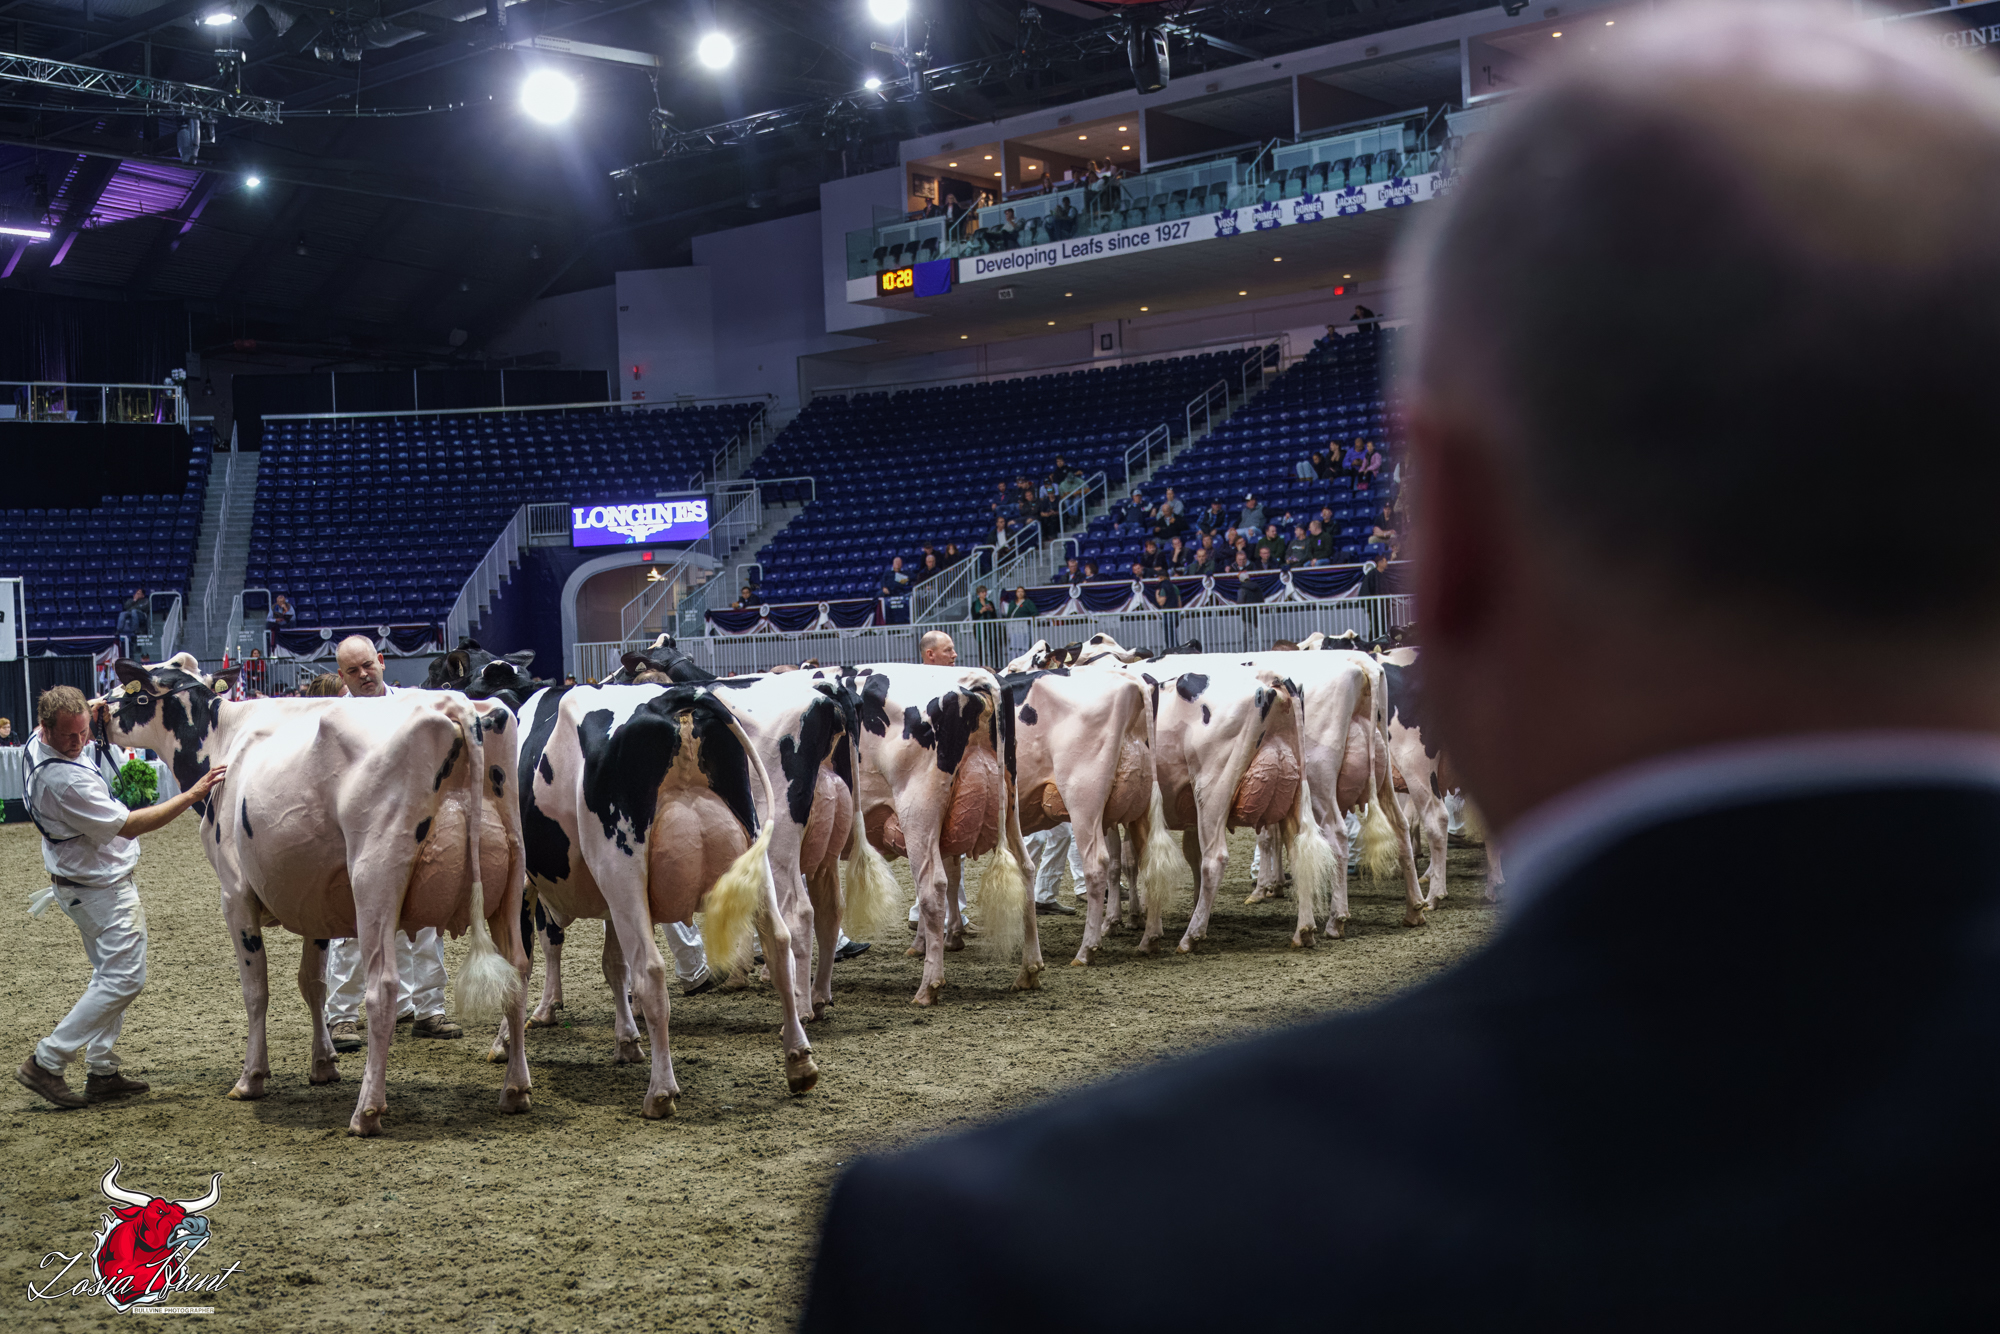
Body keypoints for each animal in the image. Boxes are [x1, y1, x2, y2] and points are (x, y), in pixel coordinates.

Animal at [95, 656, 529, 1137]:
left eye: (135, 694)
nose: (96, 708)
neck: (226, 738)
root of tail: (456, 704)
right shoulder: (316, 898)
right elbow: (313, 983)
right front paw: (323, 1063)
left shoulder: (234, 894)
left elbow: (256, 989)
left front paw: (251, 1078)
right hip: (512, 876)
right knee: (518, 972)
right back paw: (515, 1090)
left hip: (375, 876)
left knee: (383, 986)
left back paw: (367, 1111)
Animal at [514, 681, 811, 1116]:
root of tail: (674, 698)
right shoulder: (609, 906)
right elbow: (612, 964)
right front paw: (625, 1040)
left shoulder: (521, 883)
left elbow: (520, 968)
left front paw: (511, 1050)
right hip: (754, 855)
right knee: (779, 944)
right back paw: (800, 1061)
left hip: (620, 868)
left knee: (651, 972)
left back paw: (661, 1091)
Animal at [813, 663, 1037, 1006]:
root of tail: (977, 678)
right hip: (1007, 803)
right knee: (1025, 870)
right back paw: (1029, 972)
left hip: (917, 811)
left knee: (932, 885)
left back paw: (928, 987)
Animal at [1000, 667, 1180, 961]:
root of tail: (1131, 681)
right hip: (1139, 806)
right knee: (1149, 861)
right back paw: (1149, 938)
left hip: (1084, 801)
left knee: (1096, 864)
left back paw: (1086, 949)